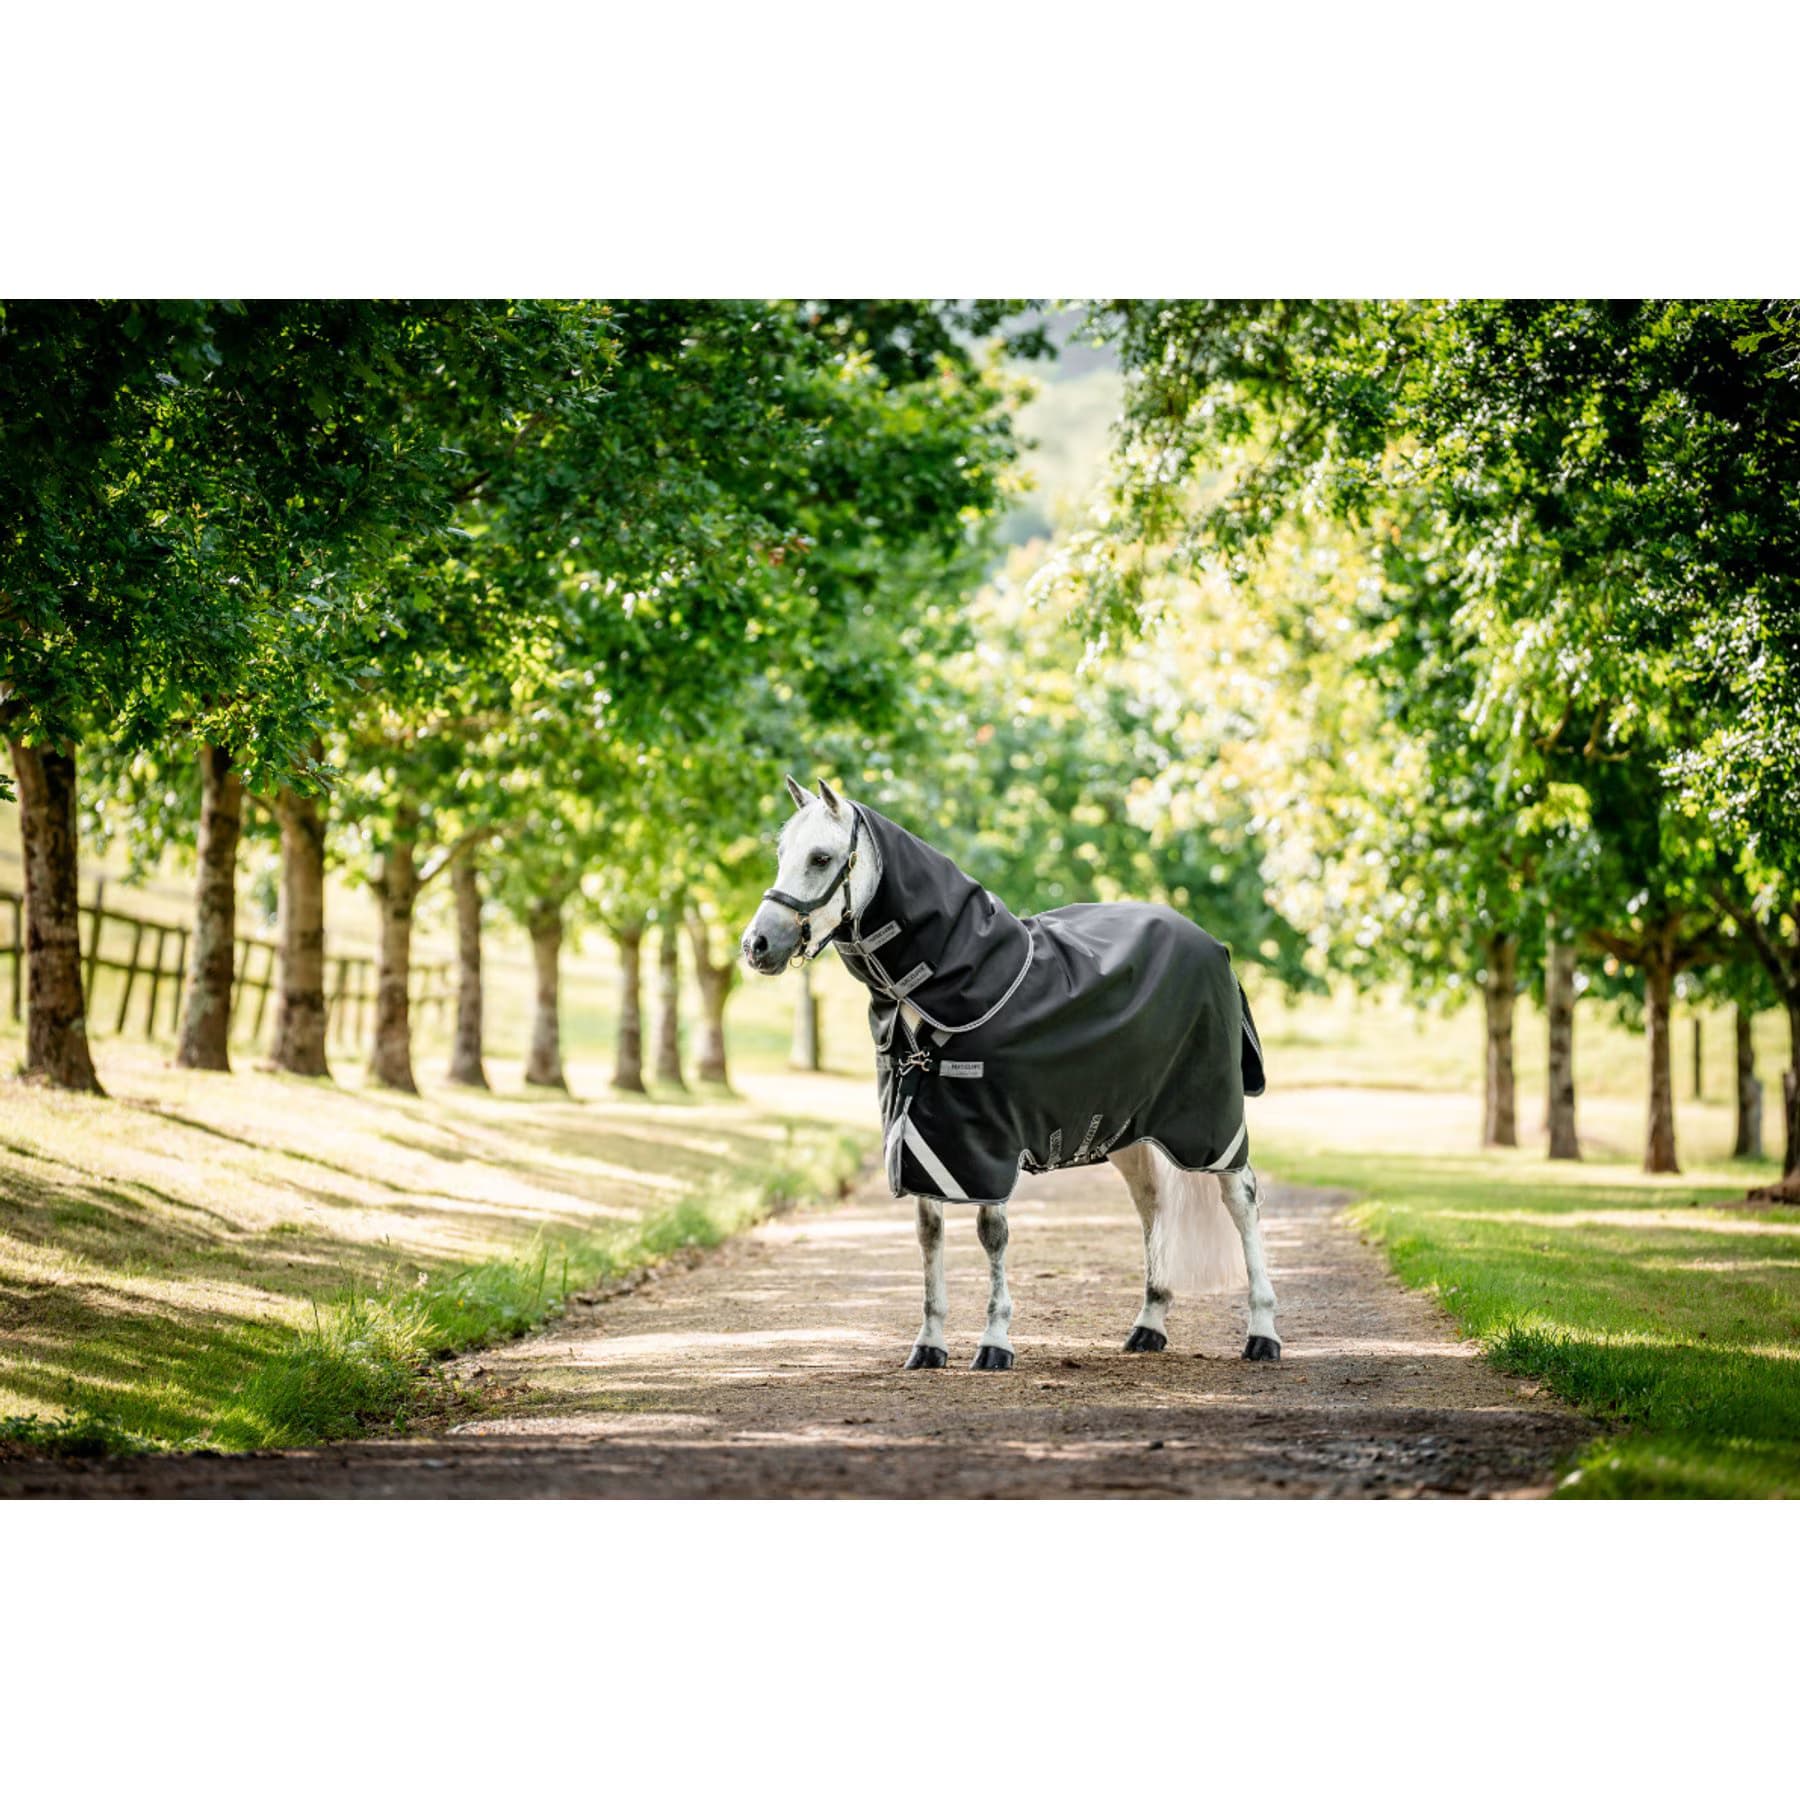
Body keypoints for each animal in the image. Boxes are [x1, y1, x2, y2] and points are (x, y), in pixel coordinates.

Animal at [741, 776, 1280, 1372]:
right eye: (781, 854)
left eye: (821, 857)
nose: (756, 945)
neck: (956, 984)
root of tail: (1214, 946)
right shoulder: (928, 1138)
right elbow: (929, 1233)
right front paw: (928, 1344)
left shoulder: (988, 1141)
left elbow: (990, 1233)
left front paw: (994, 1342)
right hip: (1130, 1129)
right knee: (1151, 1206)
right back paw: (1149, 1324)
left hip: (1209, 1124)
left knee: (1242, 1201)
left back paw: (1262, 1332)